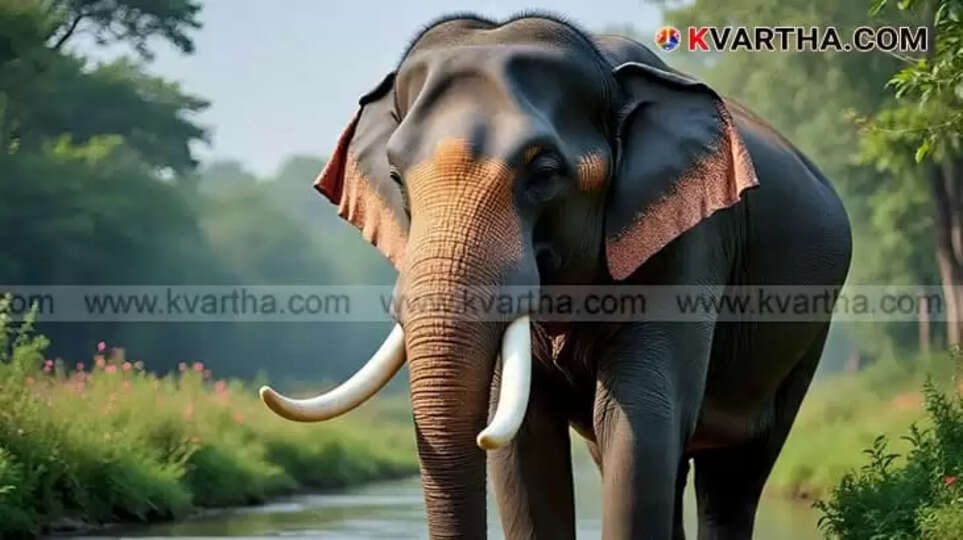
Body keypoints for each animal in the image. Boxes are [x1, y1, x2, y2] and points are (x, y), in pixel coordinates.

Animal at [259, 13, 852, 540]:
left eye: (544, 173)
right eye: (396, 176)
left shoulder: (691, 239)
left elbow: (638, 420)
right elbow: (526, 440)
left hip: (804, 336)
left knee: (735, 478)